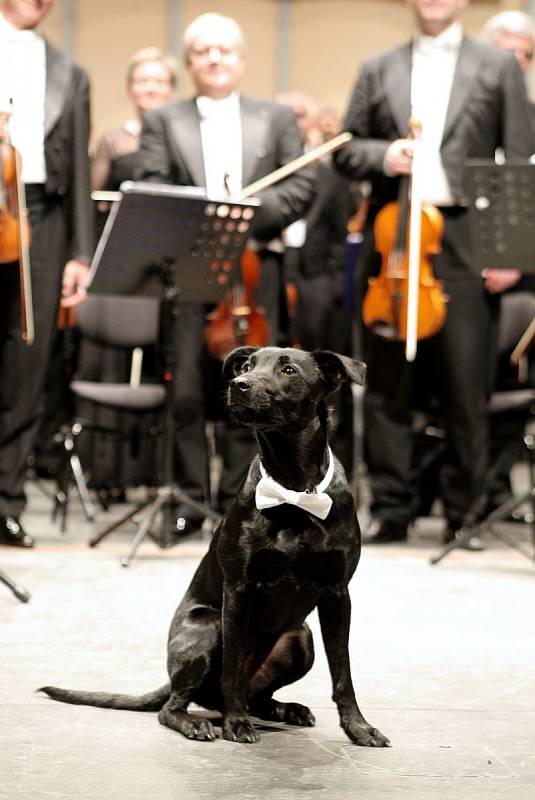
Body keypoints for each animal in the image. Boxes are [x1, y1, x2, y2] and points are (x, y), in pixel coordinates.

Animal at [40, 346, 390, 748]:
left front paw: (359, 727)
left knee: (258, 696)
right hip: (208, 627)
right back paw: (200, 722)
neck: (293, 489)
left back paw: (285, 709)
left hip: (300, 639)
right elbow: (233, 669)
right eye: (248, 365)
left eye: (288, 370)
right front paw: (236, 725)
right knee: (177, 705)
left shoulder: (337, 594)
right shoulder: (238, 590)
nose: (238, 384)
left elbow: (343, 674)